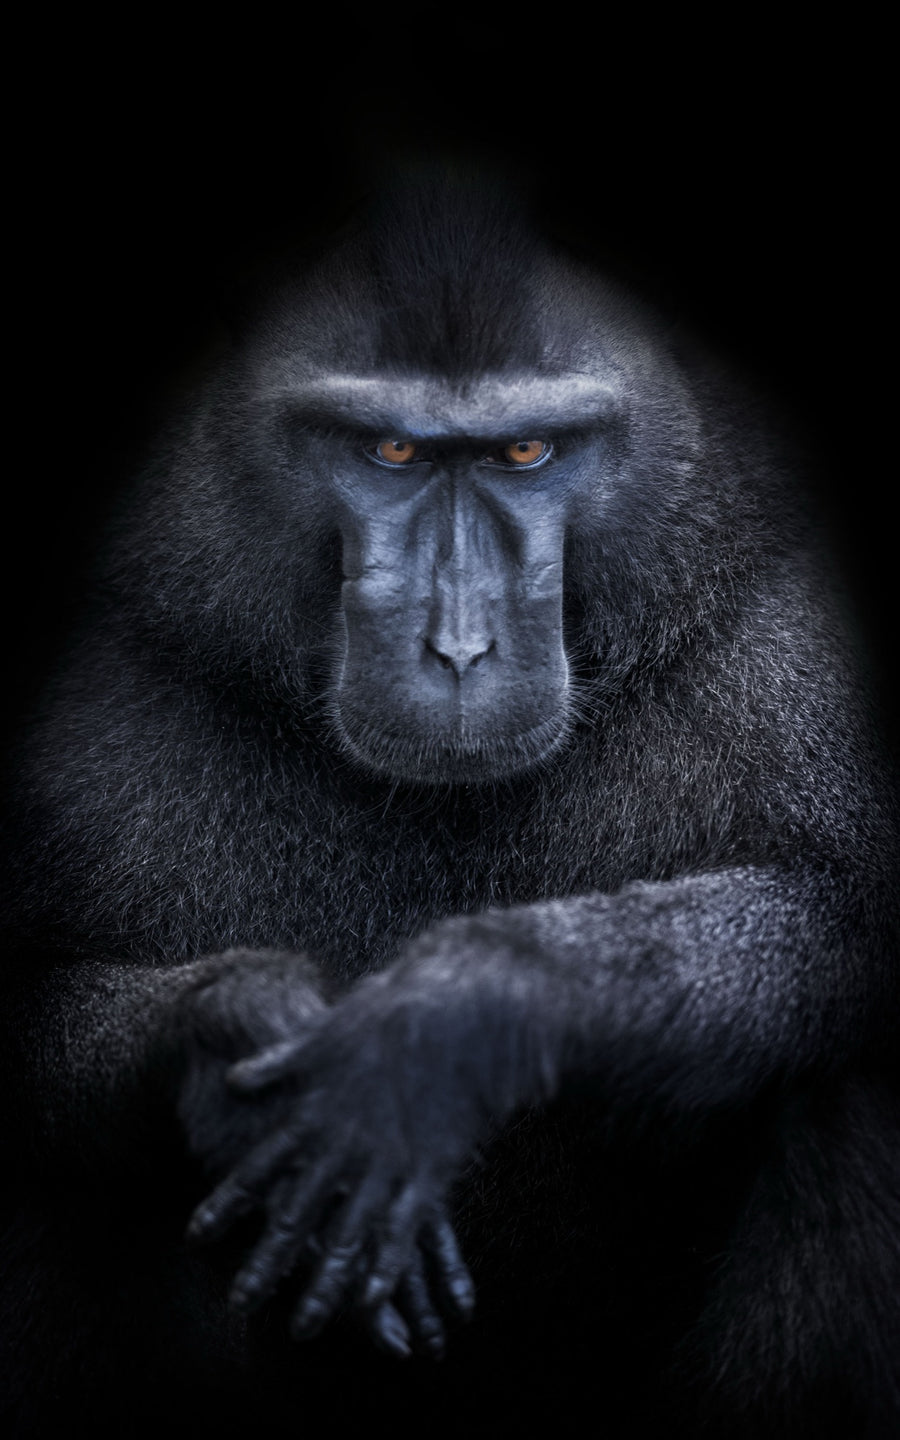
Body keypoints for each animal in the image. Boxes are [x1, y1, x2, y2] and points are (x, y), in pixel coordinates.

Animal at [1, 176, 897, 1438]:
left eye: (526, 450)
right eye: (390, 449)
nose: (461, 649)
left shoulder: (774, 641)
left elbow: (849, 923)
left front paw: (446, 1020)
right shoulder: (121, 676)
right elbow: (31, 1020)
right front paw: (228, 1036)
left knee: (834, 1091)